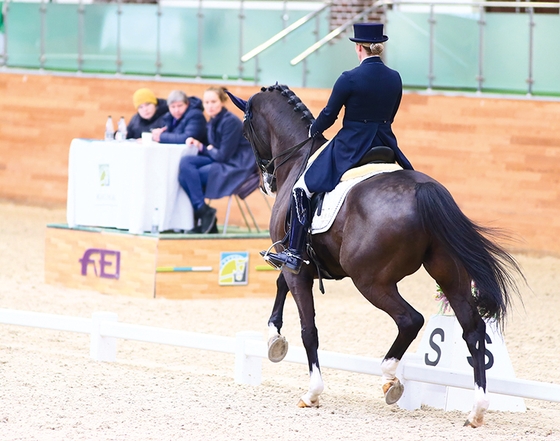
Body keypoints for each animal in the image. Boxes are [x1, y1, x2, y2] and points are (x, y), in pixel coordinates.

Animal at [226, 83, 520, 426]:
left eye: (244, 131)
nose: (267, 182)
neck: (300, 157)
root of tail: (424, 191)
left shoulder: (296, 262)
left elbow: (308, 328)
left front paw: (312, 391)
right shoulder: (299, 261)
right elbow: (280, 286)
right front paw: (274, 339)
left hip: (370, 281)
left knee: (411, 319)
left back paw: (391, 377)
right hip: (450, 275)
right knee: (473, 330)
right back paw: (476, 410)